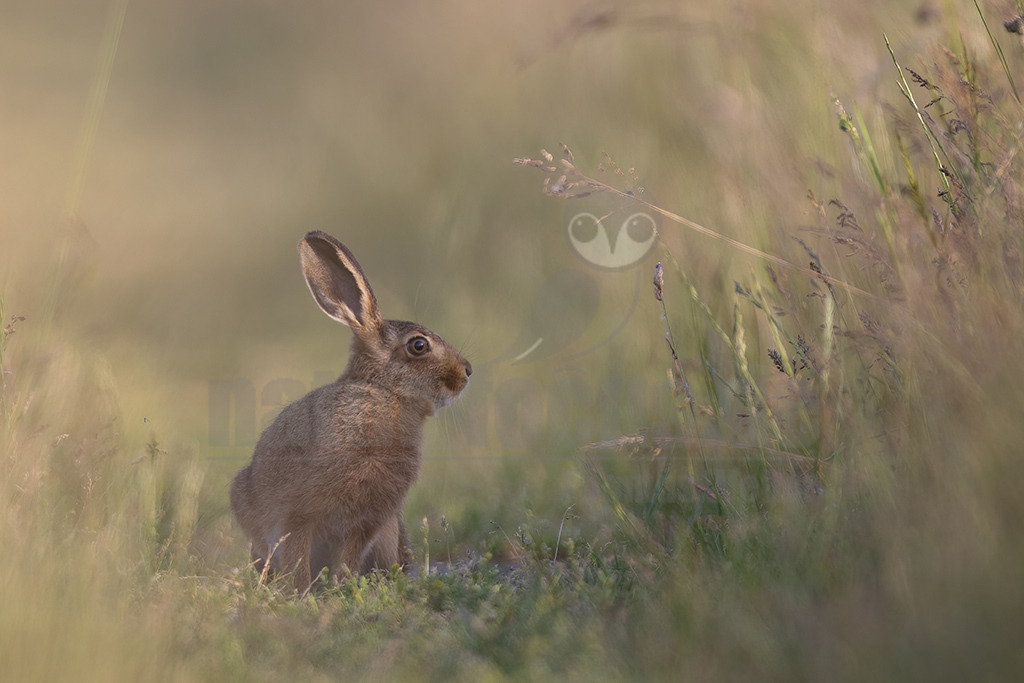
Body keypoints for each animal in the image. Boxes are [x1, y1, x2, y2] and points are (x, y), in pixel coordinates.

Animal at [229, 231, 471, 593]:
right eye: (419, 345)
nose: (467, 371)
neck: (383, 393)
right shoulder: (298, 514)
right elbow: (297, 554)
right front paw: (301, 592)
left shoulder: (368, 521)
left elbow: (348, 558)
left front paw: (342, 588)